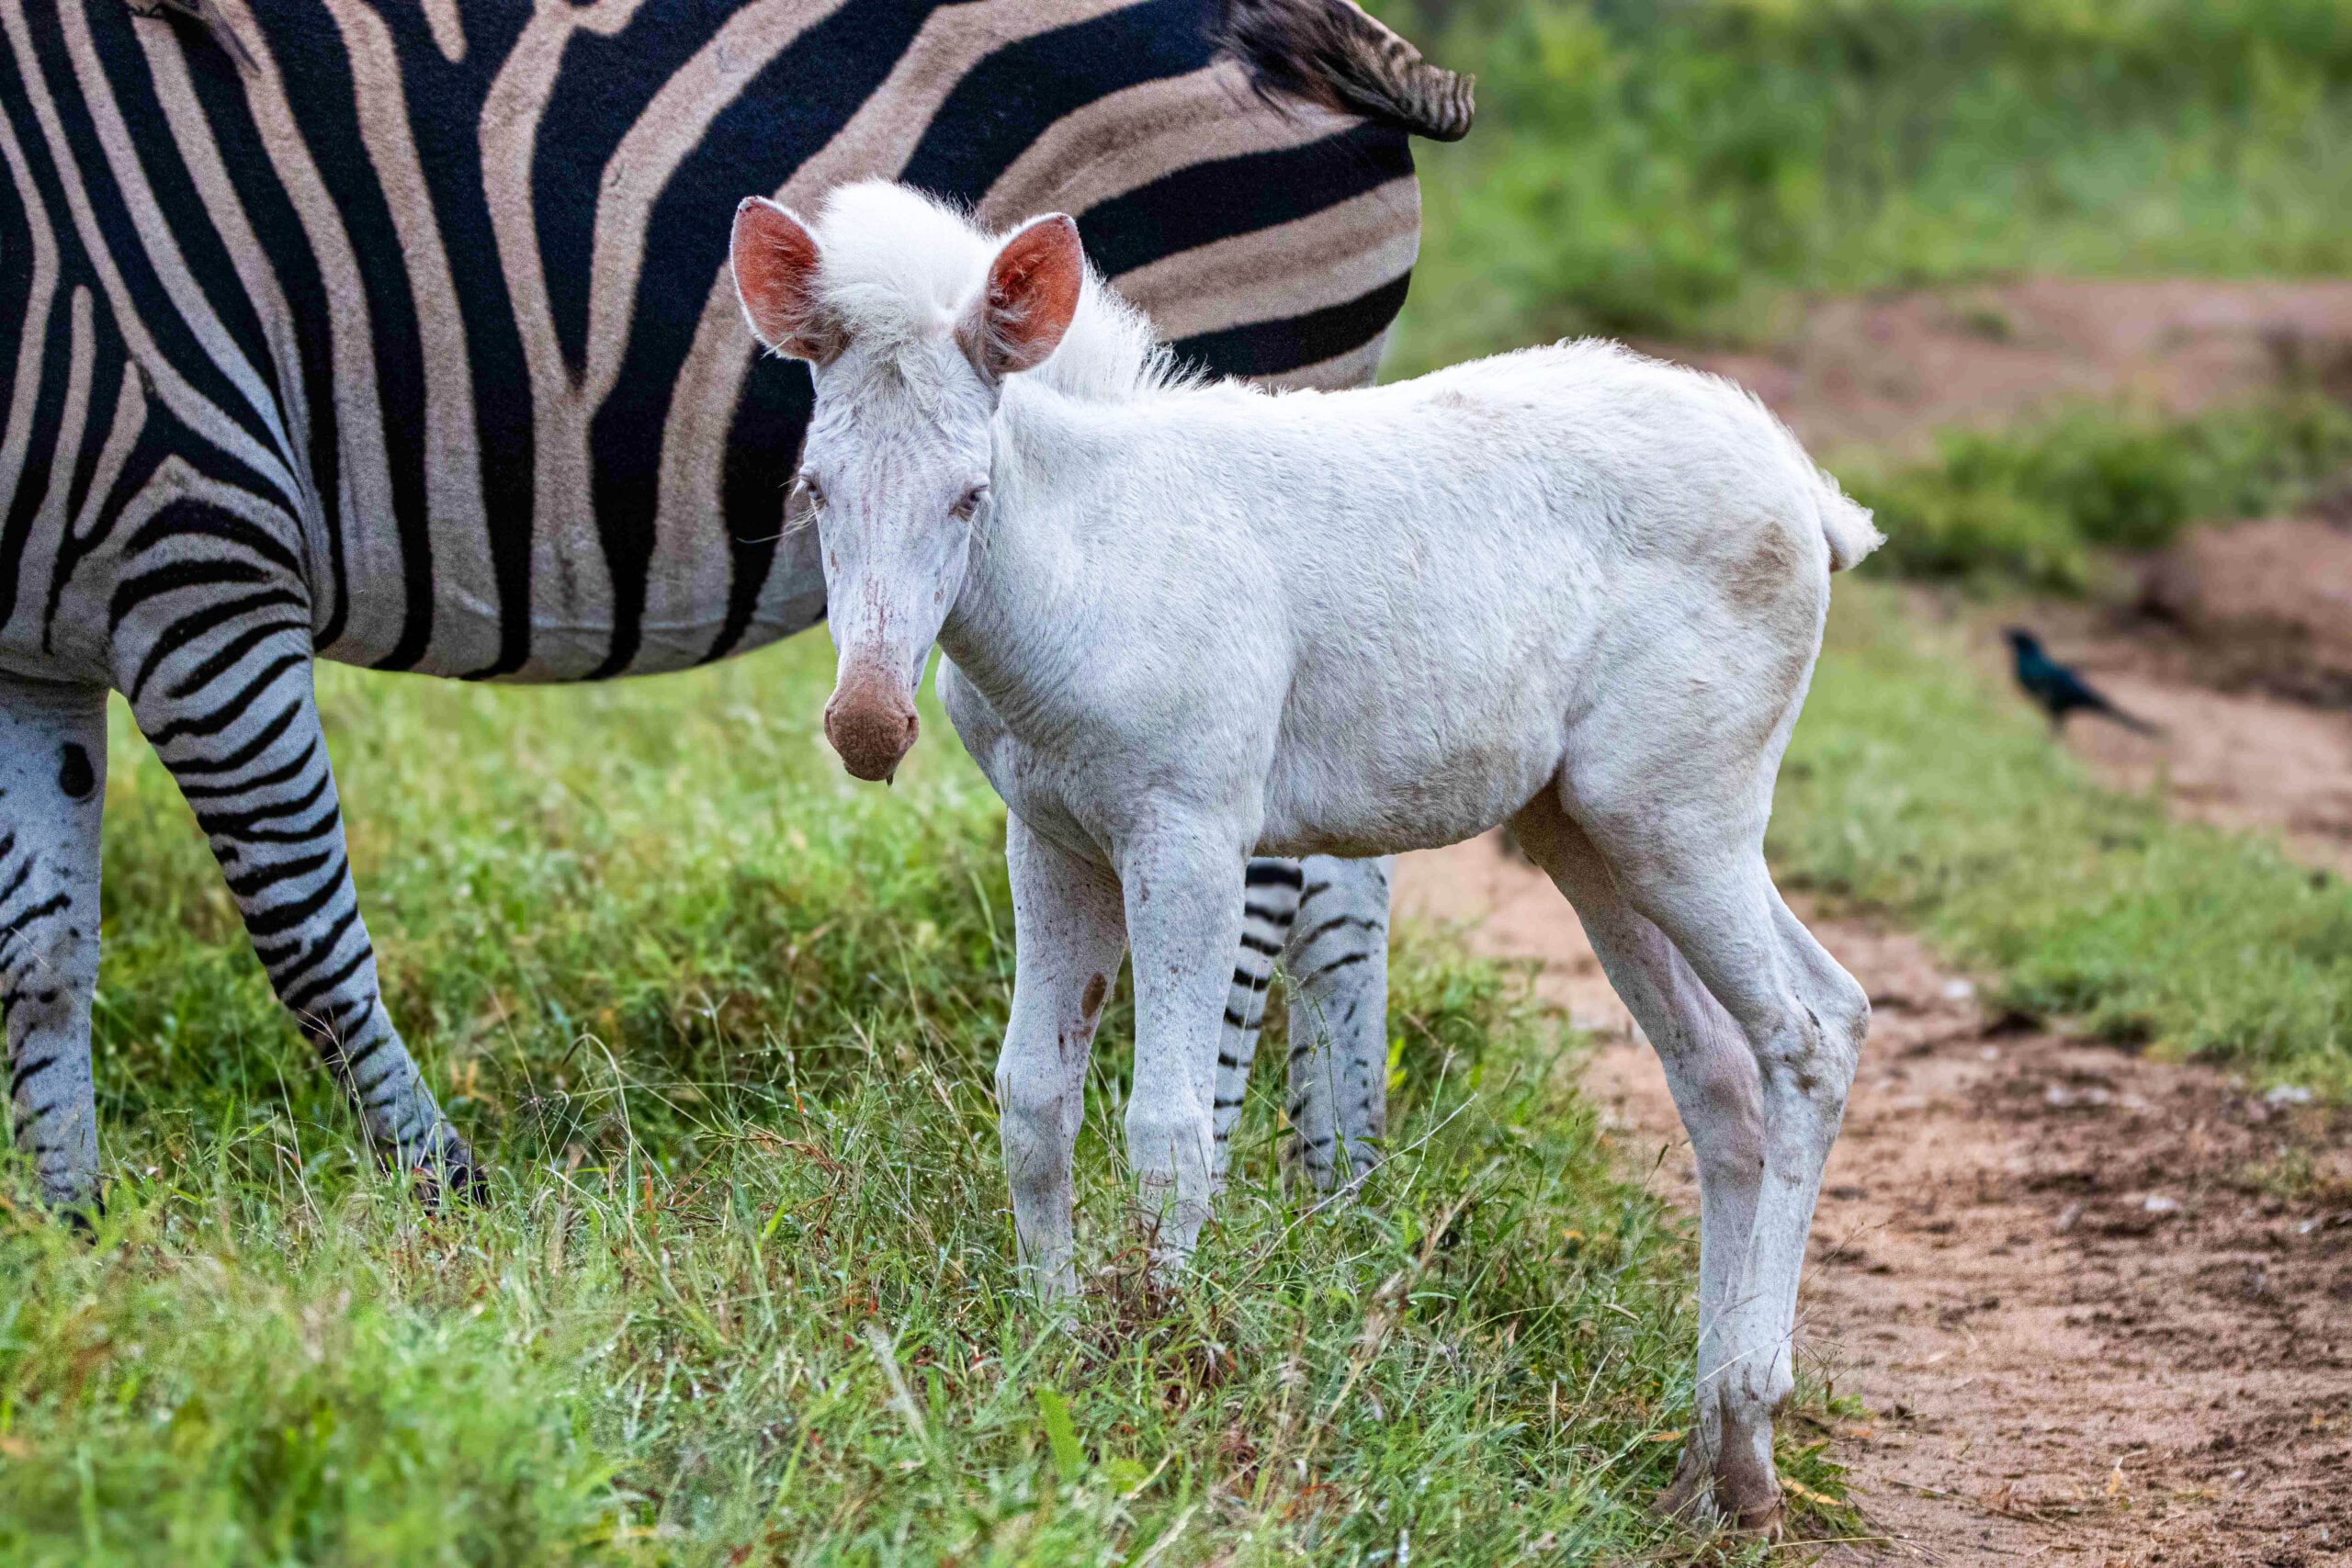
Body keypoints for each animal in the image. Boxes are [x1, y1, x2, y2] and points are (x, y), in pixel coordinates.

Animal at [0, 0, 1468, 1212]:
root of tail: (1306, 22)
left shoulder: (193, 539)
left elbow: (302, 931)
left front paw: (446, 1204)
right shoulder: (32, 647)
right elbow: (41, 954)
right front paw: (75, 1228)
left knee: (1264, 880)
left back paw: (1230, 1185)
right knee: (1347, 862)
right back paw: (1335, 1201)